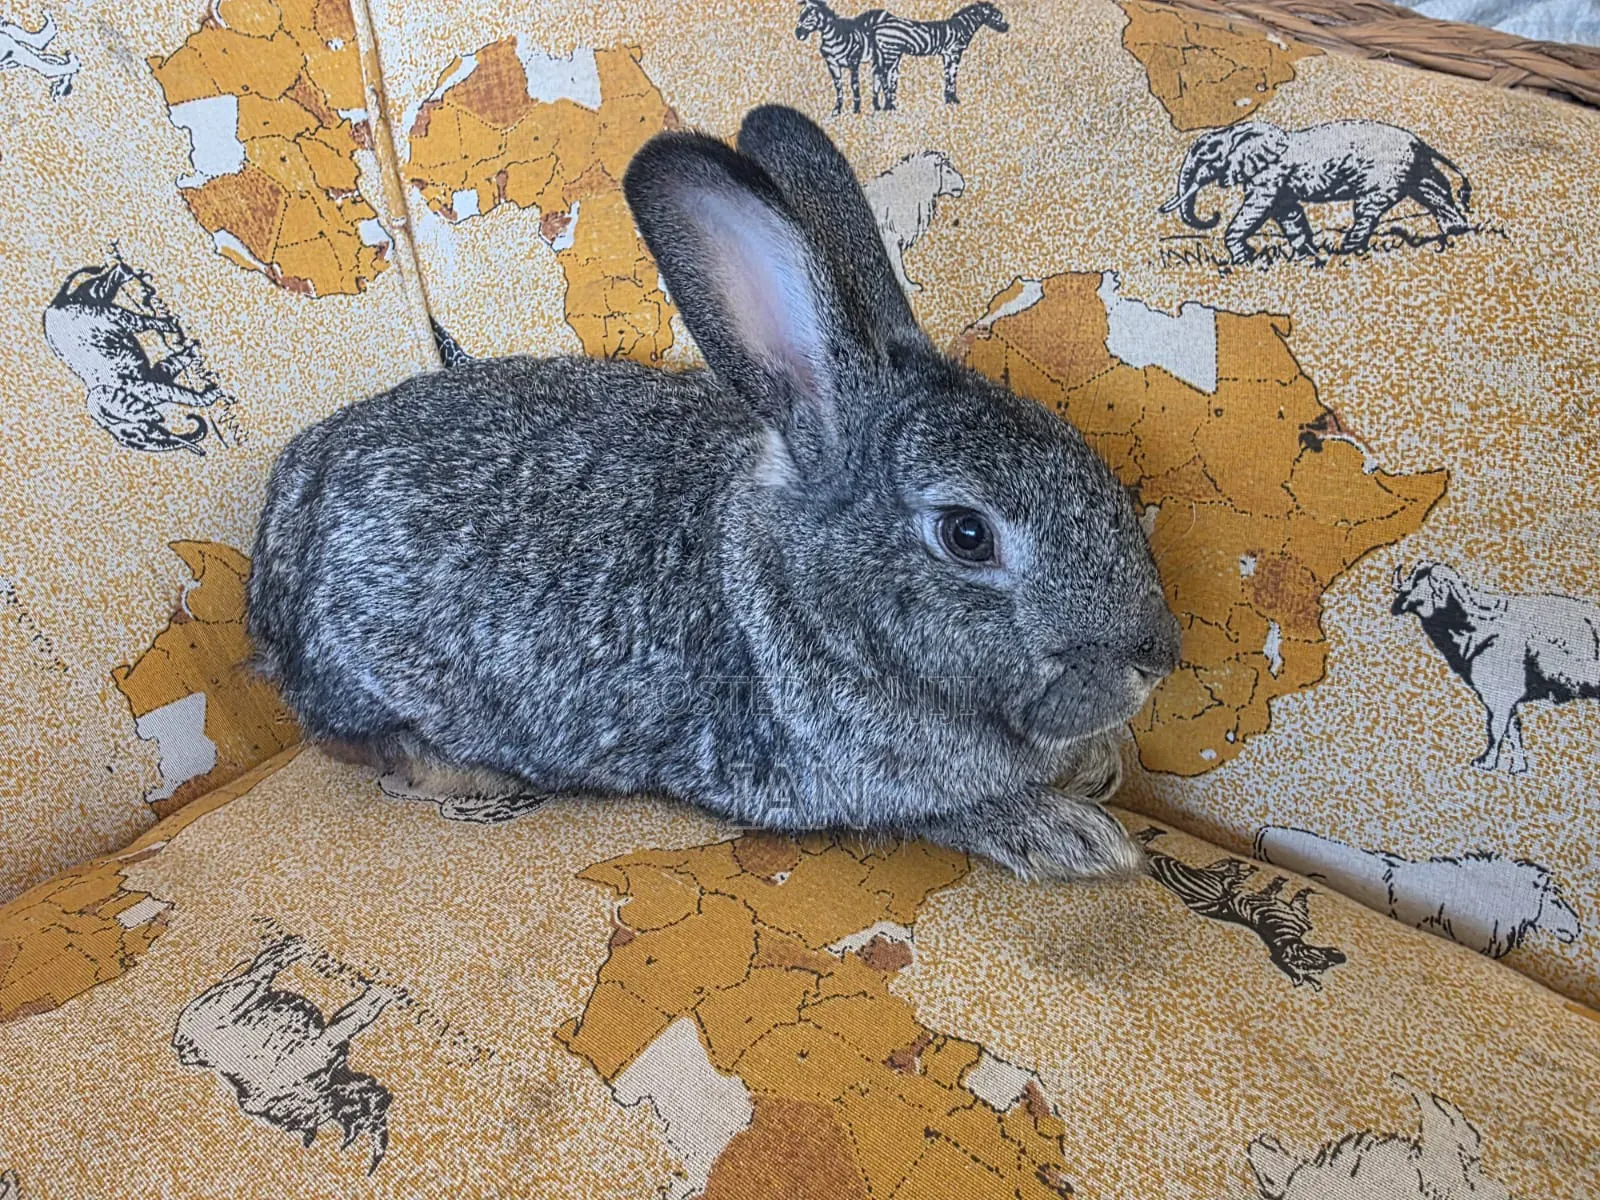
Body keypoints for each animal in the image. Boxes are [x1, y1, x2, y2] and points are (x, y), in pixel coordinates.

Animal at [246, 104, 1181, 882]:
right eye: (967, 534)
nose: (1157, 656)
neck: (805, 592)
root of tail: (284, 517)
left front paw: (1098, 767)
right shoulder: (832, 787)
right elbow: (955, 811)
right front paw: (1076, 837)